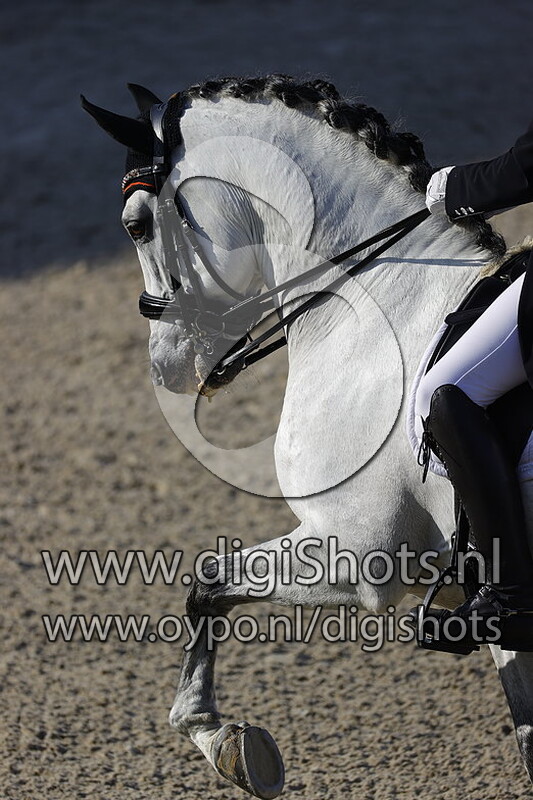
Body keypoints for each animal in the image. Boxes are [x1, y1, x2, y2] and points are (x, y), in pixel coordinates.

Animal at [83, 75, 533, 799]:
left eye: (136, 225)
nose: (164, 369)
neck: (390, 307)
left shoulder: (357, 553)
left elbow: (208, 580)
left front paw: (219, 738)